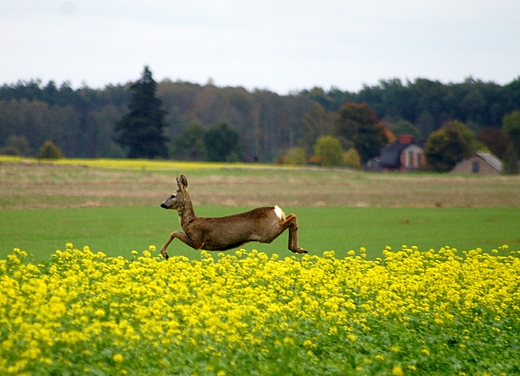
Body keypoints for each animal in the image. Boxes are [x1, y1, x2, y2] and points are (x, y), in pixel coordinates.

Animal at [157, 174, 304, 258]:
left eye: (172, 195)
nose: (162, 204)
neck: (190, 221)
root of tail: (276, 209)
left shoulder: (197, 240)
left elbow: (174, 232)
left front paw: (164, 253)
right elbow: (174, 232)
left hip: (267, 233)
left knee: (292, 218)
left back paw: (296, 248)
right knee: (291, 216)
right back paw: (298, 249)